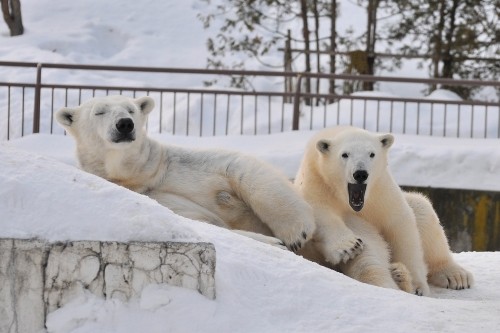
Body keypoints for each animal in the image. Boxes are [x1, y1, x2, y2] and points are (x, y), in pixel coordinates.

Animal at [54, 94, 312, 250]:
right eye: (99, 112)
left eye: (131, 109)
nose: (125, 124)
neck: (136, 176)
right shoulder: (156, 199)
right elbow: (209, 223)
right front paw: (273, 241)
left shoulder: (183, 164)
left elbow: (241, 167)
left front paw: (297, 233)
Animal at [294, 126, 474, 294]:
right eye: (345, 154)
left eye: (372, 154)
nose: (360, 173)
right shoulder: (316, 182)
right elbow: (321, 213)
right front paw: (348, 247)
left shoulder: (381, 192)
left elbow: (400, 226)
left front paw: (417, 286)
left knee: (423, 213)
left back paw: (455, 276)